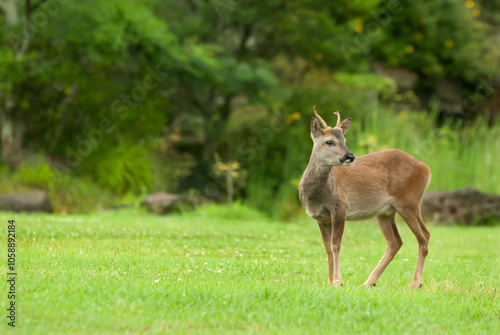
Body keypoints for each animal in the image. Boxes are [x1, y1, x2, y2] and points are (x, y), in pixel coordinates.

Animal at [296, 107, 430, 288]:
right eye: (329, 142)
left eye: (344, 139)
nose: (350, 156)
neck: (318, 195)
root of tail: (426, 168)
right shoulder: (321, 218)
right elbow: (327, 247)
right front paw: (330, 281)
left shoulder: (341, 206)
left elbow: (336, 244)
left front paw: (338, 281)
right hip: (386, 212)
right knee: (395, 242)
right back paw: (369, 282)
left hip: (409, 201)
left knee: (424, 237)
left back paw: (415, 283)